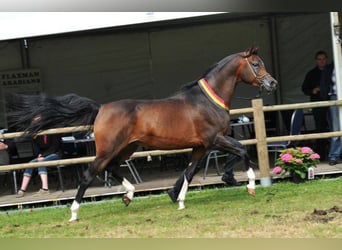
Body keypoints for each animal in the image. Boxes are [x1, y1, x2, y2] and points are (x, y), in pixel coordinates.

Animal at [7, 47, 278, 221]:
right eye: (256, 64)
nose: (272, 83)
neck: (207, 101)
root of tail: (101, 108)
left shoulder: (201, 146)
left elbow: (190, 171)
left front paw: (179, 200)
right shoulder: (214, 140)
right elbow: (242, 150)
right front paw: (249, 185)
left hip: (127, 148)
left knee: (111, 168)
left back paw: (128, 195)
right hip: (108, 149)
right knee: (89, 173)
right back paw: (74, 213)